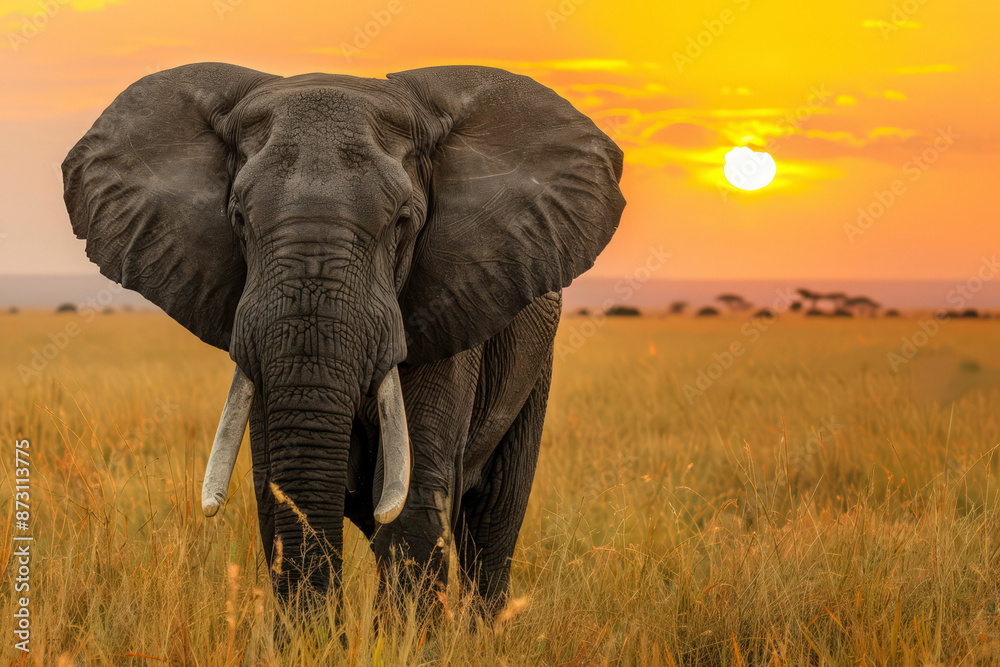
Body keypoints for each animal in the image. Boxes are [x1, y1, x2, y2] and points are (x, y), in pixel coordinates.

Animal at [62, 62, 625, 617]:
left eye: (403, 222)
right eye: (238, 218)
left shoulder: (453, 301)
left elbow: (415, 498)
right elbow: (275, 488)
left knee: (492, 525)